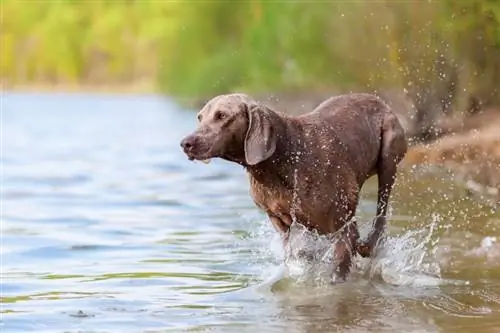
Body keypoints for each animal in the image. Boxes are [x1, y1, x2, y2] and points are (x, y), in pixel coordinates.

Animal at [180, 92, 406, 282]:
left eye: (221, 115)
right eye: (200, 117)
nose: (185, 143)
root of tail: (380, 101)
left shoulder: (342, 222)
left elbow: (338, 268)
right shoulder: (279, 220)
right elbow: (297, 256)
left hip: (388, 156)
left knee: (381, 214)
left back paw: (370, 244)